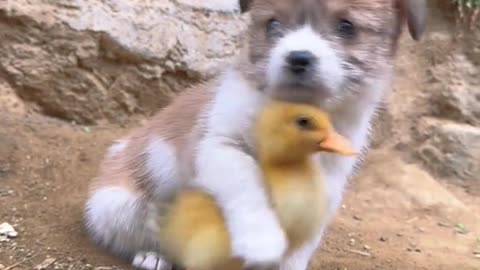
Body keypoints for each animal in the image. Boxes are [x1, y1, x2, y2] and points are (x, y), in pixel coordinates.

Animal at [84, 0, 426, 270]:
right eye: (273, 24)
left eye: (347, 27)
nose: (298, 58)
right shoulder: (220, 146)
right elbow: (248, 185)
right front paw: (261, 239)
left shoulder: (327, 184)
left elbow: (303, 243)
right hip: (117, 205)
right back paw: (153, 255)